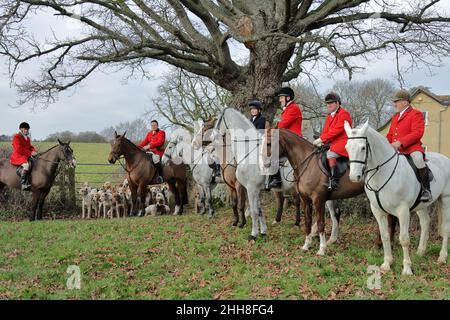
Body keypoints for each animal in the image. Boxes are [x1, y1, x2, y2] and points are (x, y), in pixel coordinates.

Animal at [344, 120, 446, 276]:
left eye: (363, 147)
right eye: (347, 147)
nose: (354, 177)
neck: (382, 173)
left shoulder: (402, 210)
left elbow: (404, 239)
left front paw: (407, 268)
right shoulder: (378, 211)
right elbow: (385, 236)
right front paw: (387, 263)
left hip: (446, 200)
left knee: (446, 228)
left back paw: (442, 257)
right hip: (421, 206)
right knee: (425, 222)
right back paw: (420, 252)